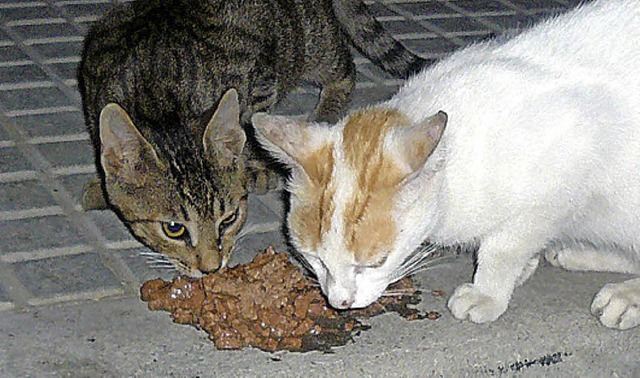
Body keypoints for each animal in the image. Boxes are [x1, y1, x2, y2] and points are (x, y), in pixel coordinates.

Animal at [79, 0, 424, 276]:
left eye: (228, 219)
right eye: (174, 229)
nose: (211, 268)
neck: (161, 100)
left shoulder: (258, 71)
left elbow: (251, 124)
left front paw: (254, 167)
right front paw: (102, 188)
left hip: (309, 39)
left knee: (343, 68)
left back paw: (324, 111)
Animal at [251, 0, 640, 330]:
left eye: (374, 263)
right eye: (314, 258)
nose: (340, 302)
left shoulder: (564, 179)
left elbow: (504, 247)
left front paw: (488, 289)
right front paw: (524, 266)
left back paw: (625, 295)